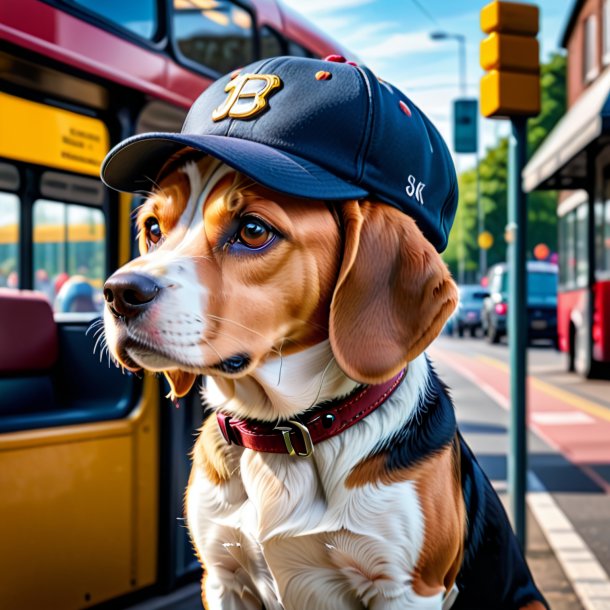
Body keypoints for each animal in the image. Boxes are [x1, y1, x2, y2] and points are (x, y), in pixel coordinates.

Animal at [100, 54, 548, 604]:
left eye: (253, 230)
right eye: (153, 229)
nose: (119, 293)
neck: (285, 433)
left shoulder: (407, 589)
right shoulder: (222, 576)